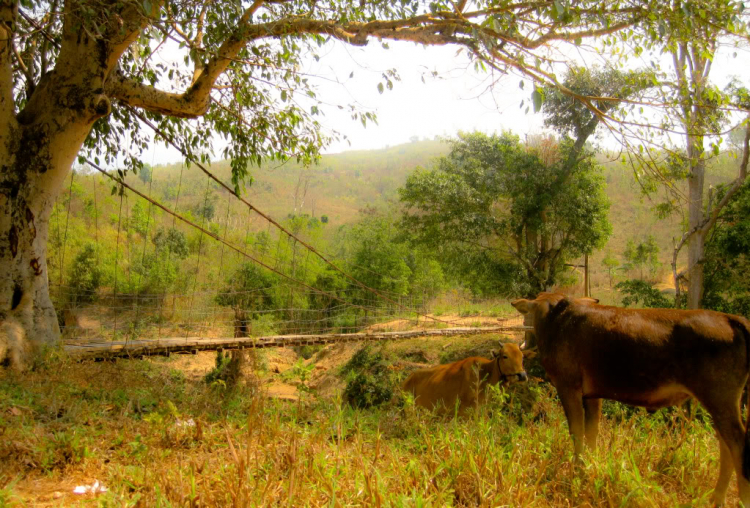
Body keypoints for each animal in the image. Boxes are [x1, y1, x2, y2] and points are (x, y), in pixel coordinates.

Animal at [516, 292, 750, 506]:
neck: (556, 320)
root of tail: (729, 319)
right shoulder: (593, 395)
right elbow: (591, 433)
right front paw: (590, 467)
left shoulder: (568, 387)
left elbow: (577, 433)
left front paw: (577, 471)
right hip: (719, 403)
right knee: (725, 445)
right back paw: (717, 498)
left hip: (719, 399)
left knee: (738, 445)